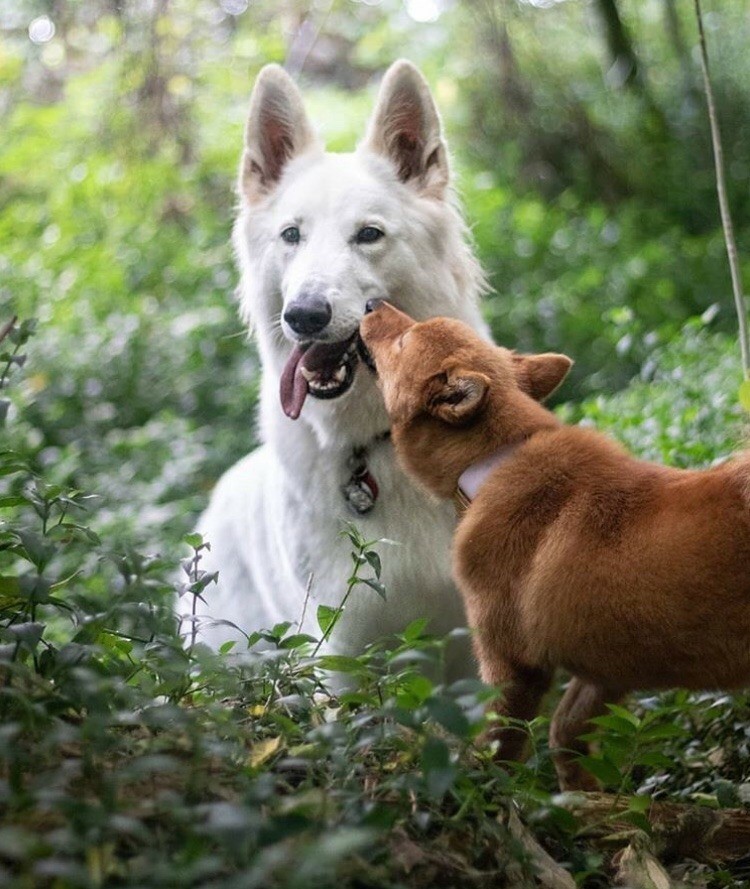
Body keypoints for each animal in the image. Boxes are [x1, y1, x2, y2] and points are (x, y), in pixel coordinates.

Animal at [360, 302, 750, 788]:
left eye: (403, 341)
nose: (371, 303)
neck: (497, 460)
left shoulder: (513, 667)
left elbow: (496, 748)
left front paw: (481, 791)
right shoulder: (604, 669)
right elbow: (566, 736)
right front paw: (585, 798)